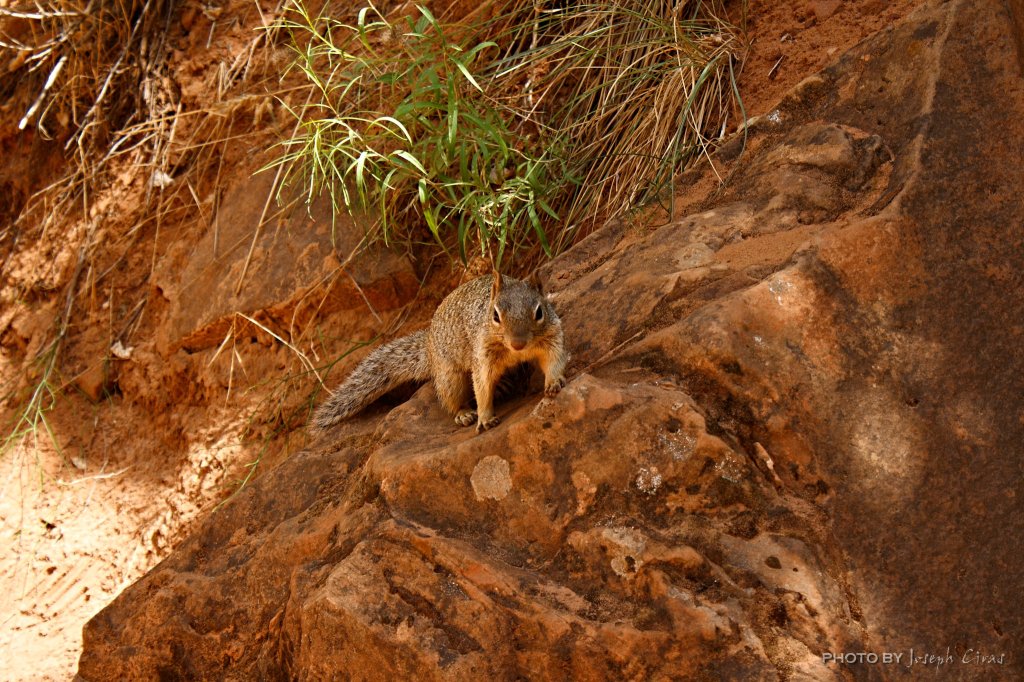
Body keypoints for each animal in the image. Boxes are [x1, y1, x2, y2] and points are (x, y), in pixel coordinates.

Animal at [312, 271, 568, 433]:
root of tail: (429, 347)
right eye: (495, 315)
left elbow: (554, 359)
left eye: (539, 312)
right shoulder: (482, 356)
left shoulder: (552, 337)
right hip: (449, 377)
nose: (518, 343)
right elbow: (482, 386)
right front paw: (485, 417)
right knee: (450, 398)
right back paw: (464, 413)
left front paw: (553, 382)